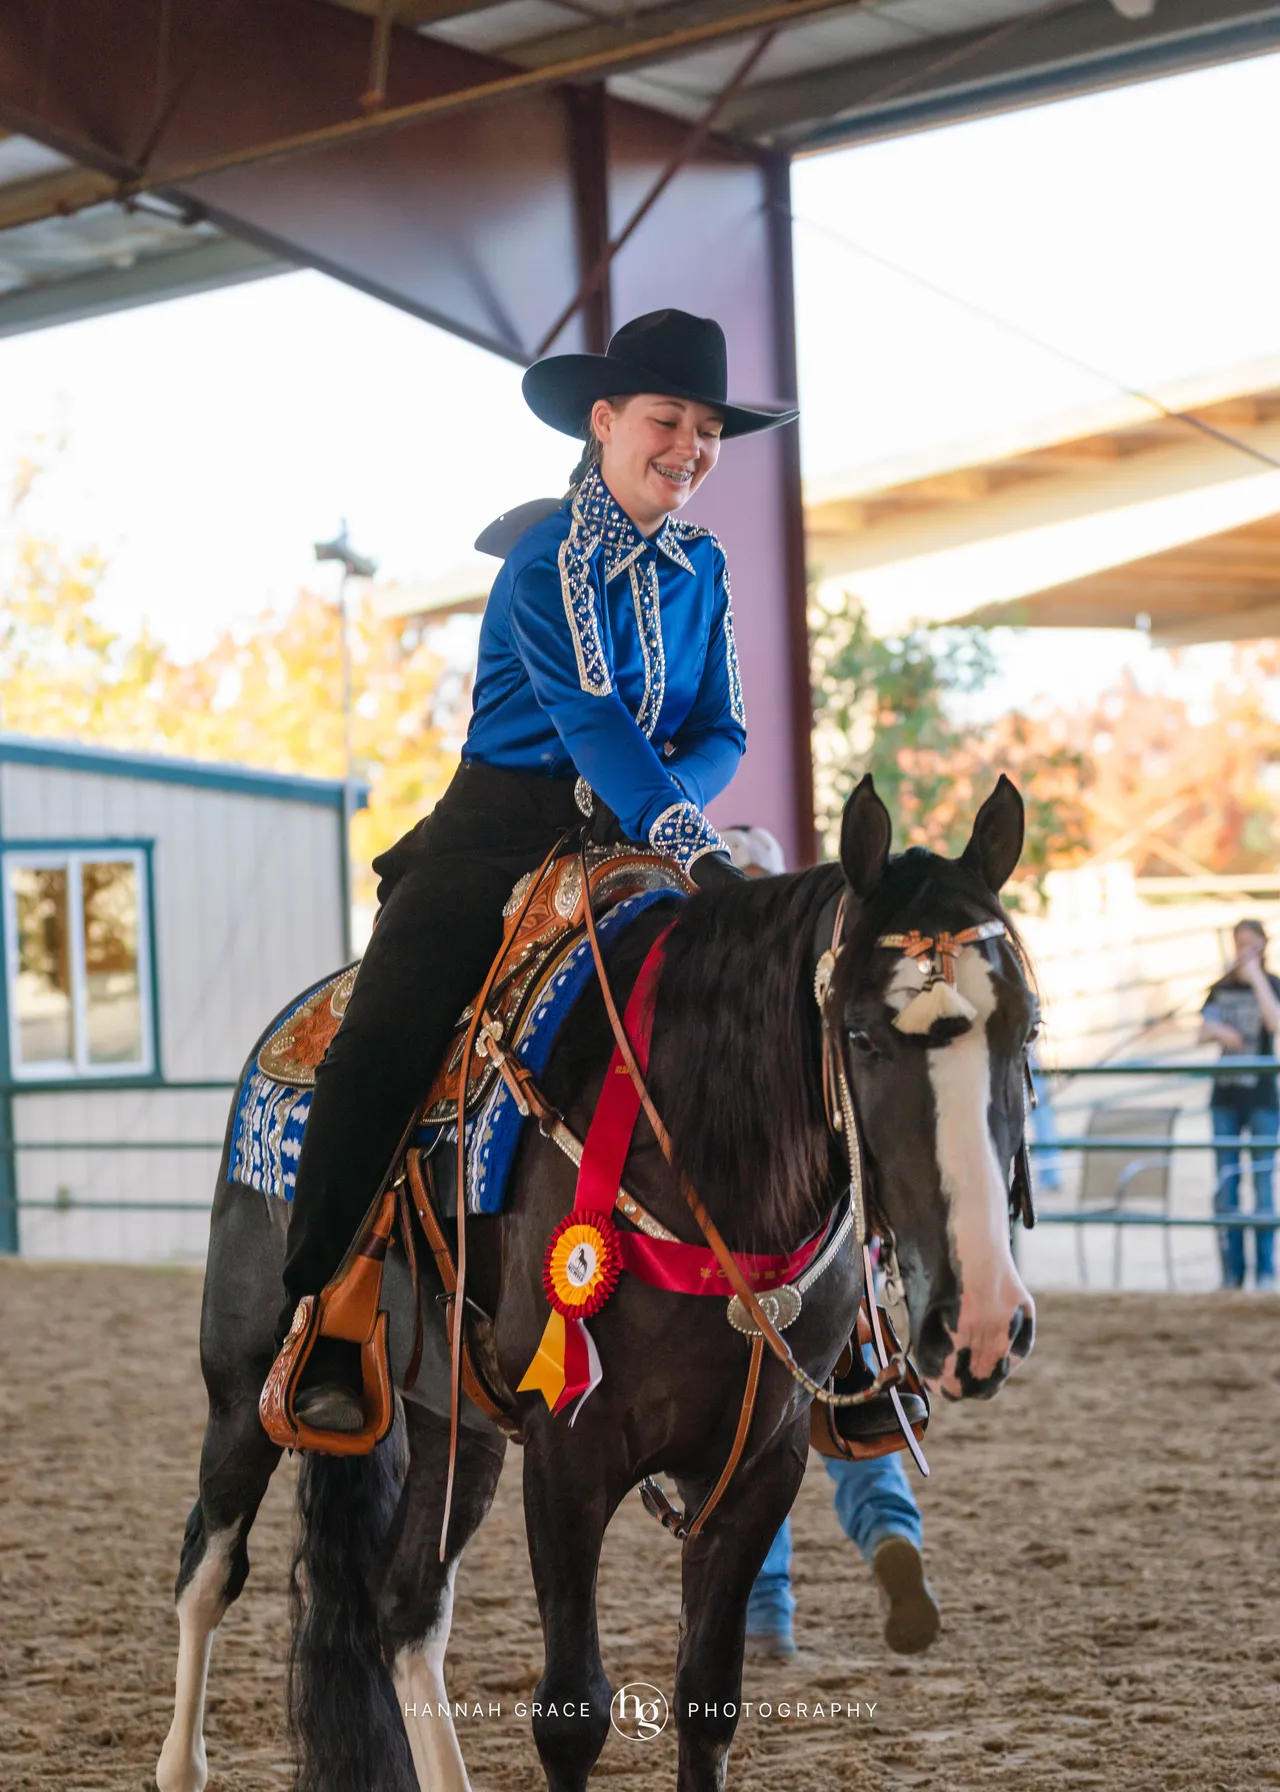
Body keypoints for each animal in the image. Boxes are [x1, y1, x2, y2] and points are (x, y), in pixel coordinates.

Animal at [155, 772, 1038, 1792]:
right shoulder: (568, 1451)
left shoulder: (760, 1465)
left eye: (1026, 1027)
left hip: (453, 1424)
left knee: (404, 1608)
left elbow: (708, 1700)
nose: (982, 1323)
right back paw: (181, 1763)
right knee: (208, 1568)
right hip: (242, 1391)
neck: (700, 1151)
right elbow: (572, 1712)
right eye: (858, 1034)